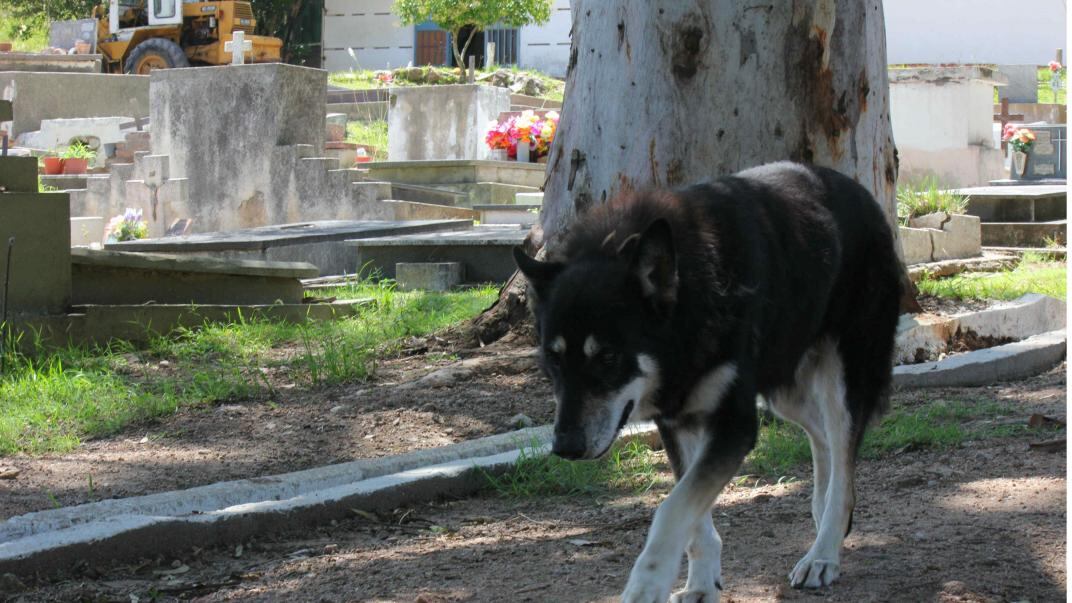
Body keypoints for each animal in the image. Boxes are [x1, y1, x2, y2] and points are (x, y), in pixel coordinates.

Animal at [514, 160, 900, 600]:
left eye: (608, 357)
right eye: (553, 358)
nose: (564, 447)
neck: (693, 302)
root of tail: (860, 192)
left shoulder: (735, 423)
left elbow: (672, 508)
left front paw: (647, 583)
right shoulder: (676, 421)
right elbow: (692, 515)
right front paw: (701, 583)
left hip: (842, 379)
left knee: (842, 448)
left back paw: (823, 553)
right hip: (783, 388)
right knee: (823, 439)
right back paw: (821, 514)